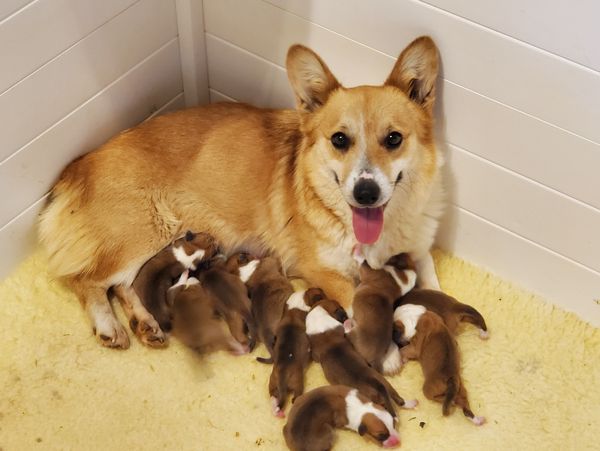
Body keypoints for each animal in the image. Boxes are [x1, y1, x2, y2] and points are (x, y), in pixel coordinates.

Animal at [38, 38, 446, 350]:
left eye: (393, 139)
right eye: (339, 140)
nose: (365, 192)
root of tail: (82, 162)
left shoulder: (419, 251)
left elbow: (434, 282)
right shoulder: (322, 270)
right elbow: (356, 298)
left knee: (123, 284)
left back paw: (146, 323)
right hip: (144, 231)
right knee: (89, 280)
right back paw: (110, 326)